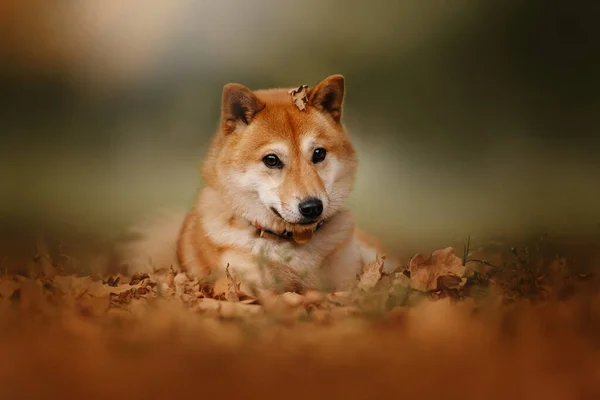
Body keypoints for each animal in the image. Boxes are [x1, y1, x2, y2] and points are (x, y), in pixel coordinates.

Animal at [120, 76, 394, 294]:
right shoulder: (242, 282)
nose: (312, 207)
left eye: (318, 154)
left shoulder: (346, 277)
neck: (293, 246)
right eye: (271, 160)